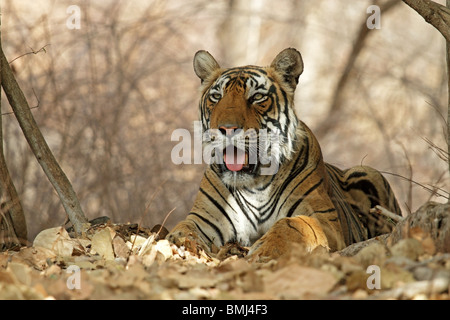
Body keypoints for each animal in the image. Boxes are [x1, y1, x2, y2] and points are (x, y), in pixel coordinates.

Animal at [166, 48, 400, 260]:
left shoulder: (325, 221)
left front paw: (265, 250)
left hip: (368, 172)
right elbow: (184, 227)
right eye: (216, 97)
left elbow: (295, 224)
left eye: (257, 97)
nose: (227, 129)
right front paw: (179, 243)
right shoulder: (205, 219)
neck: (255, 184)